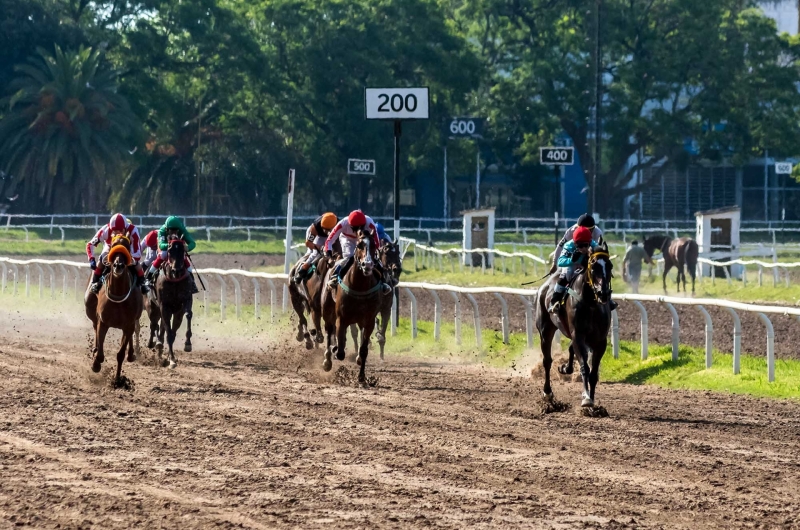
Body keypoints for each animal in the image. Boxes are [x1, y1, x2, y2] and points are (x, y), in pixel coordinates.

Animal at [84, 237, 144, 382]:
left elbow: (120, 354)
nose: (118, 265)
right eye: (113, 246)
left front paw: (117, 380)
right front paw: (95, 365)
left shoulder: (128, 325)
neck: (118, 295)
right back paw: (95, 349)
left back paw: (131, 354)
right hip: (90, 307)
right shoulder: (103, 322)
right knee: (94, 326)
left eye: (127, 247)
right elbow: (100, 353)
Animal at [318, 229, 382, 382]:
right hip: (327, 310)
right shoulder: (341, 318)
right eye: (359, 245)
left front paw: (362, 376)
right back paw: (327, 360)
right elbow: (340, 350)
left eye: (374, 246)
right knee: (329, 331)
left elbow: (364, 350)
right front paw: (335, 350)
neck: (360, 287)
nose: (367, 265)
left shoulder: (369, 321)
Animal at [536, 245, 612, 406]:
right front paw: (587, 398)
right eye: (593, 266)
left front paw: (592, 400)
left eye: (610, 265)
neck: (591, 304)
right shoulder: (578, 335)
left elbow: (593, 373)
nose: (603, 293)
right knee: (547, 360)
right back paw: (547, 392)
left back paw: (566, 368)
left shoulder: (600, 341)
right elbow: (585, 367)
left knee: (570, 350)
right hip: (545, 330)